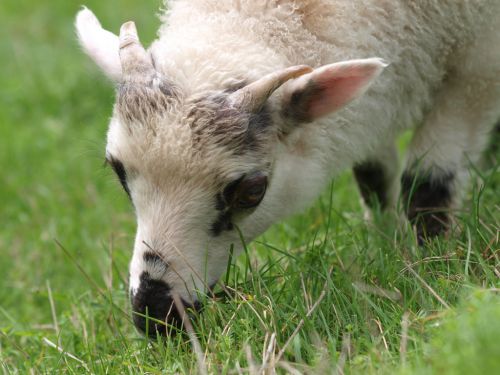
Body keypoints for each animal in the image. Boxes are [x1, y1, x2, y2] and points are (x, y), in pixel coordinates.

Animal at [75, 0, 500, 338]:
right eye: (118, 171)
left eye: (252, 192)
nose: (155, 316)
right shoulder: (374, 102)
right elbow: (374, 178)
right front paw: (385, 241)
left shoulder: (478, 64)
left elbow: (426, 188)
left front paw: (434, 265)